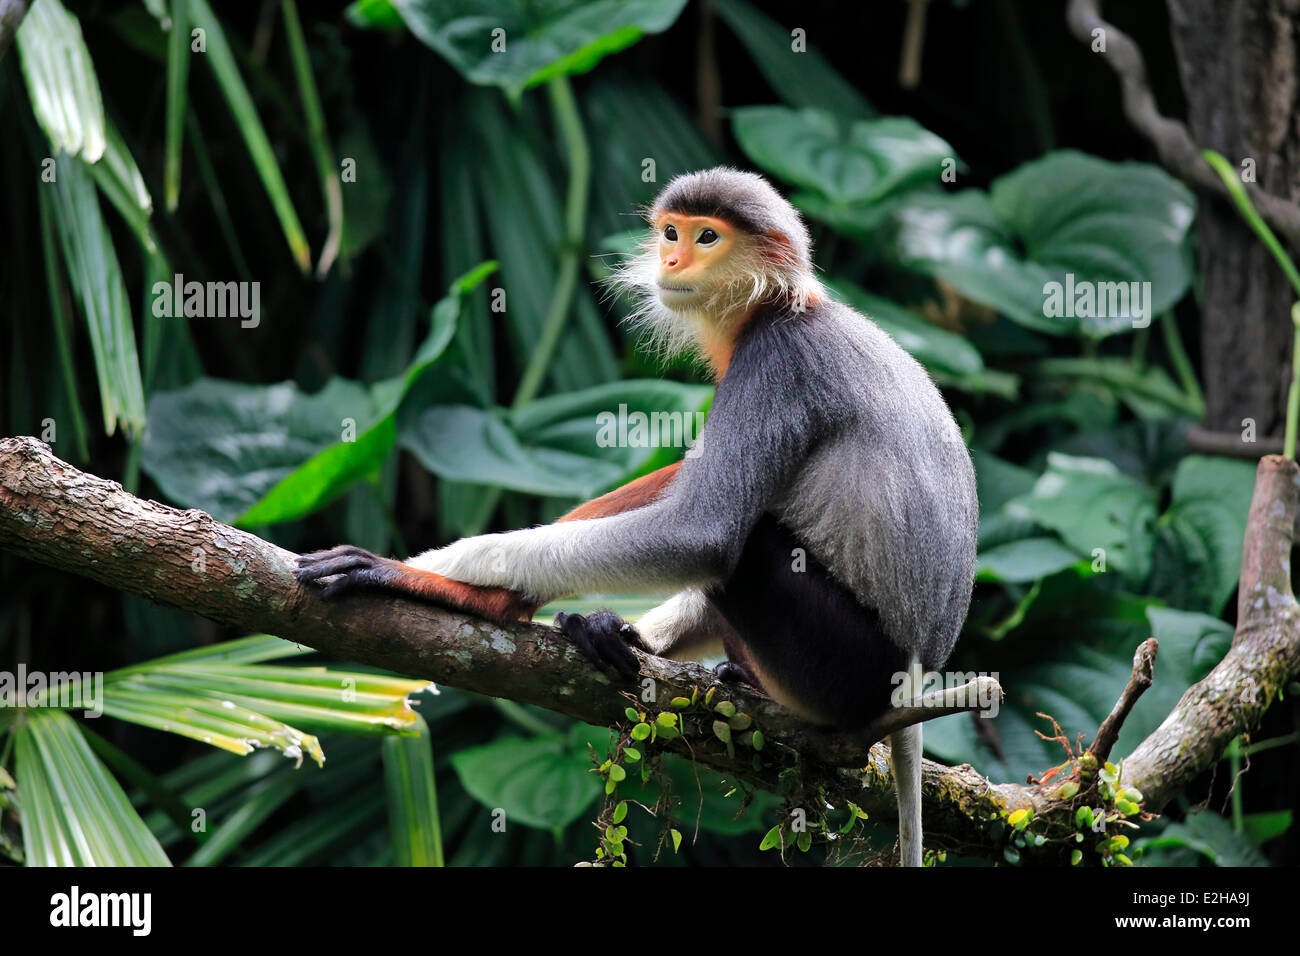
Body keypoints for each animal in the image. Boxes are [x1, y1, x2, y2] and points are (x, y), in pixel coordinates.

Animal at [297, 166, 977, 868]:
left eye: (707, 237)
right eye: (672, 232)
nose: (671, 259)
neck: (783, 304)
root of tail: (911, 680)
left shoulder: (777, 361)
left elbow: (703, 535)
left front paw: (437, 572)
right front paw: (604, 627)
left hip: (844, 668)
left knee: (749, 547)